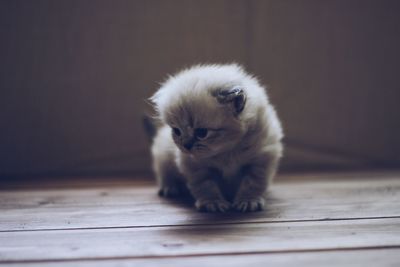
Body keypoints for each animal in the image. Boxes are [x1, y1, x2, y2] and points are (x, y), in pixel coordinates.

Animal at [148, 63, 282, 213]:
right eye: (177, 131)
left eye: (202, 133)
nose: (186, 146)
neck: (227, 151)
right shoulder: (195, 166)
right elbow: (206, 187)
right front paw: (213, 203)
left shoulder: (261, 160)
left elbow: (252, 183)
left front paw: (248, 200)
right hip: (163, 155)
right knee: (165, 173)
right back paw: (170, 188)